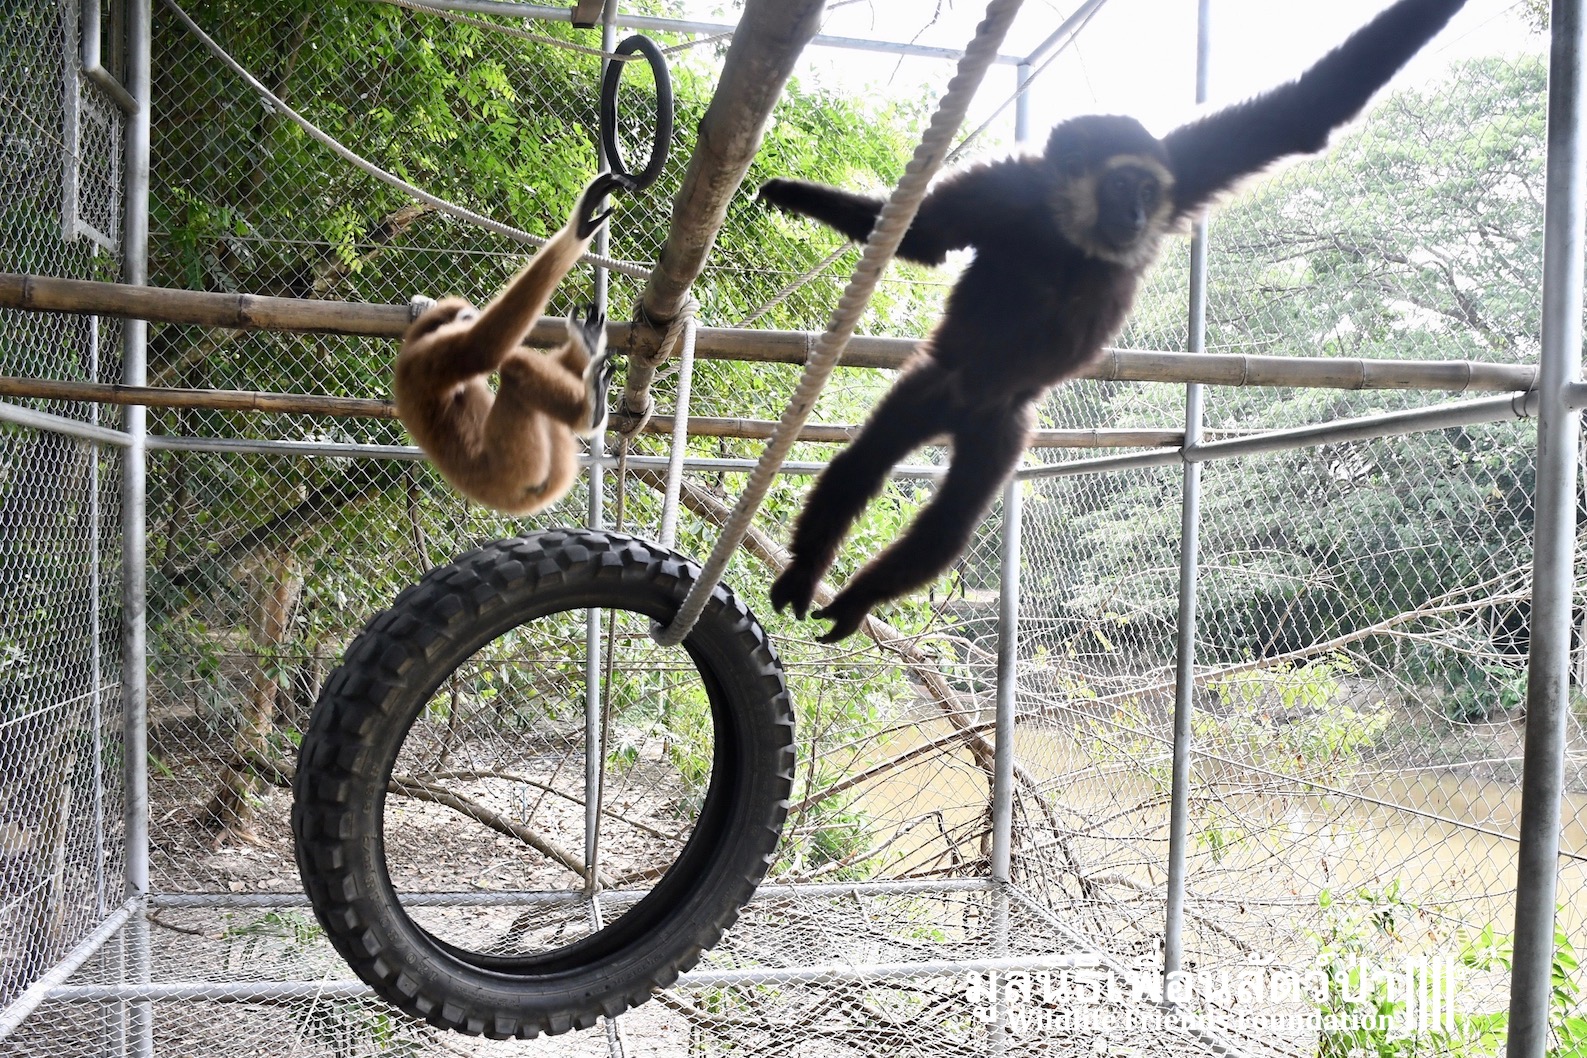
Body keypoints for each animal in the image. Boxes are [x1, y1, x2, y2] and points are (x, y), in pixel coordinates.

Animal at [393, 173, 631, 516]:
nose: (469, 317)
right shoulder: (423, 361)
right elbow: (483, 349)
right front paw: (577, 230)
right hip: (521, 466)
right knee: (514, 366)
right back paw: (590, 414)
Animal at [757, 0, 1467, 642]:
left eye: (1148, 190)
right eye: (1123, 186)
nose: (1137, 214)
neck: (1072, 234)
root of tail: (967, 406)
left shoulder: (1182, 170)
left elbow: (1303, 112)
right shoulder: (1005, 188)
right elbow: (928, 237)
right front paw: (790, 194)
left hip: (1002, 424)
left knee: (946, 525)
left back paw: (855, 598)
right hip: (938, 386)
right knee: (864, 465)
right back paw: (806, 575)